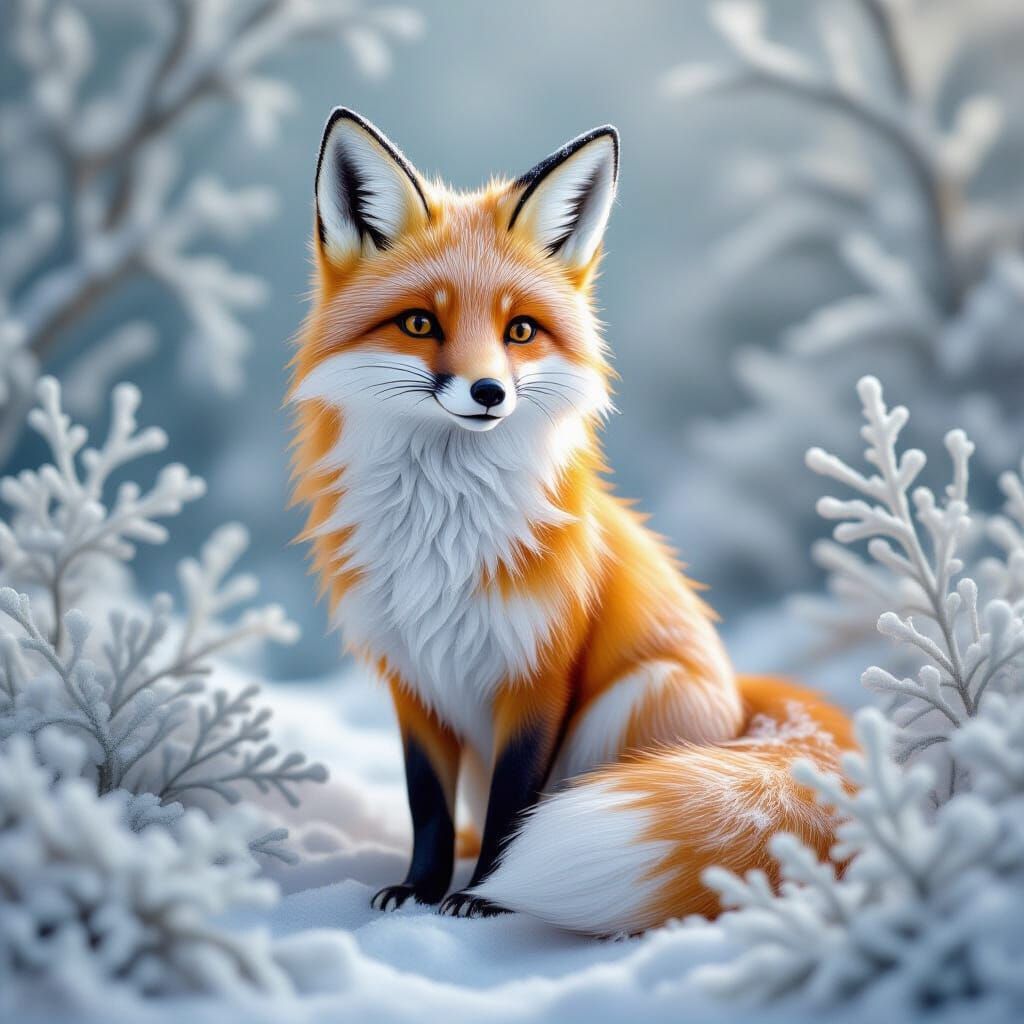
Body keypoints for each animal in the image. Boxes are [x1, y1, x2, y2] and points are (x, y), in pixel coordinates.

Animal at [288, 107, 855, 935]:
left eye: (520, 331)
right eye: (420, 323)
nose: (488, 392)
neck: (442, 534)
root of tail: (740, 696)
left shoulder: (540, 673)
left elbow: (512, 811)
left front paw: (483, 897)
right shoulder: (412, 680)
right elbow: (428, 808)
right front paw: (419, 890)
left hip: (631, 703)